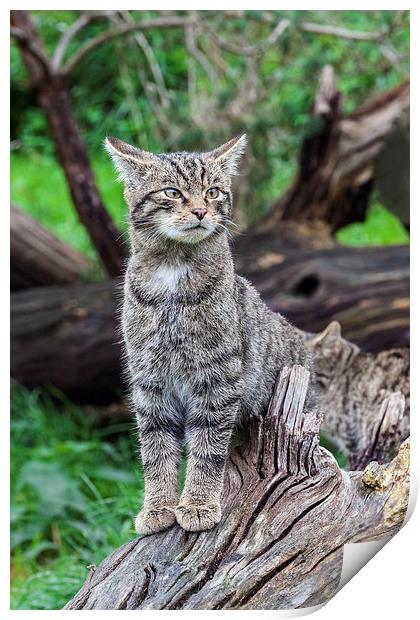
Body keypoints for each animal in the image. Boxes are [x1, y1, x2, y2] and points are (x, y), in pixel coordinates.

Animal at [105, 134, 316, 532]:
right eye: (171, 192)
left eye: (213, 191)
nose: (202, 211)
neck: (173, 274)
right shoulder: (150, 382)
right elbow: (155, 452)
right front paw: (158, 507)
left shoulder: (217, 379)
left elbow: (207, 448)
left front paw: (198, 503)